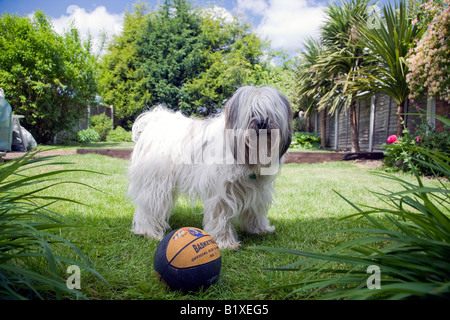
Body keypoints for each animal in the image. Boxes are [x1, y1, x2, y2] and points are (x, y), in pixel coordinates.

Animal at [128, 85, 294, 250]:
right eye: (252, 112)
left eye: (270, 114)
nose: (262, 123)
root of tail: (154, 121)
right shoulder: (221, 192)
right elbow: (220, 216)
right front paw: (224, 242)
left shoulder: (256, 188)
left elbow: (255, 209)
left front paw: (259, 229)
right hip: (156, 183)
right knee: (150, 206)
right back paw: (149, 231)